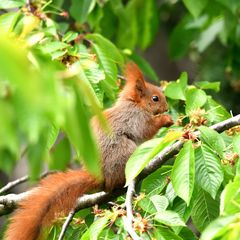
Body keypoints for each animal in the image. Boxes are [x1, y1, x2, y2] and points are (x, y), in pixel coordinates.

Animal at [4, 62, 173, 239]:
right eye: (155, 98)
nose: (167, 107)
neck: (135, 103)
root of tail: (100, 176)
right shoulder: (136, 118)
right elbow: (147, 130)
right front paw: (165, 120)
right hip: (126, 152)